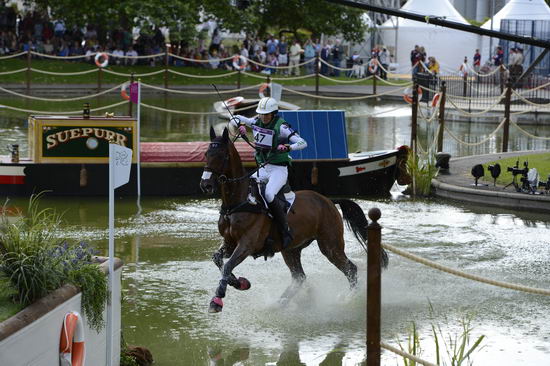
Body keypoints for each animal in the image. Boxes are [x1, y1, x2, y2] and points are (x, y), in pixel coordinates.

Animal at [199, 127, 388, 314]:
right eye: (206, 154)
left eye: (222, 155)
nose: (205, 185)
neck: (237, 203)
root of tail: (328, 201)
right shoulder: (230, 243)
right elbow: (219, 260)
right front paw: (239, 282)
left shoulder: (247, 244)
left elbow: (228, 265)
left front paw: (217, 300)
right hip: (291, 249)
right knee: (299, 277)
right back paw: (281, 302)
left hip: (330, 245)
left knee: (350, 269)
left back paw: (348, 299)